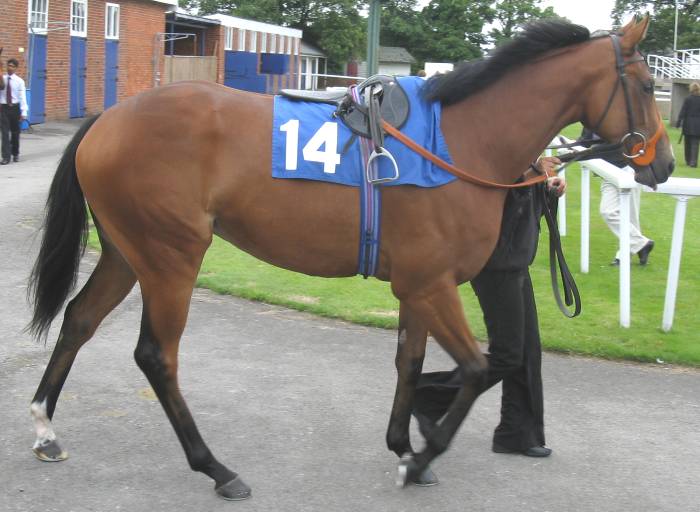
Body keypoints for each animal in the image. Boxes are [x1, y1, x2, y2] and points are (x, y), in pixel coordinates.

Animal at [26, 17, 673, 500]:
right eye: (646, 86)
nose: (664, 164)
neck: (460, 141)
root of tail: (109, 118)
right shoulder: (433, 284)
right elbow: (475, 368)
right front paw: (422, 456)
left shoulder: (417, 286)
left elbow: (410, 363)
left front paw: (405, 444)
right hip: (171, 257)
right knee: (156, 355)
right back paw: (217, 468)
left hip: (126, 251)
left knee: (79, 320)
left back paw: (45, 427)